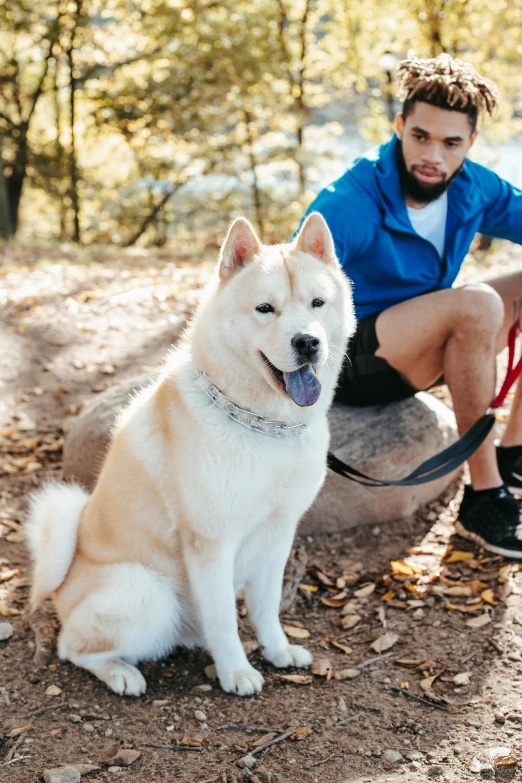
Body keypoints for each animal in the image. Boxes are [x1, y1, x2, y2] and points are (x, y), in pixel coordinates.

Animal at [26, 213, 356, 700]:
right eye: (265, 309)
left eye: (318, 303)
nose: (308, 343)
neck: (263, 425)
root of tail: (64, 583)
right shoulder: (211, 545)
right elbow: (223, 620)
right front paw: (236, 671)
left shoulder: (278, 536)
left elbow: (266, 607)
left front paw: (277, 651)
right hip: (149, 596)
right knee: (72, 647)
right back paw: (121, 674)